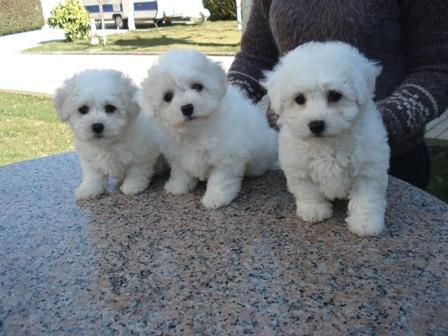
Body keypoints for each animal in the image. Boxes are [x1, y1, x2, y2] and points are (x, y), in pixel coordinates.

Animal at [54, 68, 163, 200]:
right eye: (83, 109)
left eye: (110, 108)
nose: (97, 126)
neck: (109, 144)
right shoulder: (90, 158)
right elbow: (93, 175)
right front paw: (88, 189)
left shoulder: (143, 154)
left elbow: (137, 171)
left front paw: (133, 186)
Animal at [136, 49, 278, 209]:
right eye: (167, 97)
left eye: (197, 87)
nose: (187, 108)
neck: (196, 131)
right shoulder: (178, 155)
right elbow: (181, 172)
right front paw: (178, 186)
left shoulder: (227, 157)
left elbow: (220, 179)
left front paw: (216, 198)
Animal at [262, 41, 388, 236]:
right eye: (299, 99)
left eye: (335, 95)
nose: (316, 125)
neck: (327, 142)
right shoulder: (299, 167)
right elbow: (309, 191)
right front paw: (314, 210)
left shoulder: (368, 168)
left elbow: (367, 197)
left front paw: (365, 223)